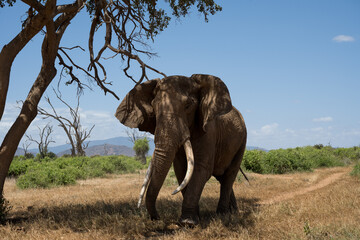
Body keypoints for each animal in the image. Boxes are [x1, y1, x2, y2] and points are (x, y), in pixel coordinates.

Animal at [115, 74, 248, 226]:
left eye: (188, 105)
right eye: (154, 107)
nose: (157, 218)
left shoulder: (209, 131)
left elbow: (200, 169)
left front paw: (188, 223)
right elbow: (181, 170)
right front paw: (195, 218)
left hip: (242, 140)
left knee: (230, 174)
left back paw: (223, 215)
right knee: (222, 177)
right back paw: (233, 212)